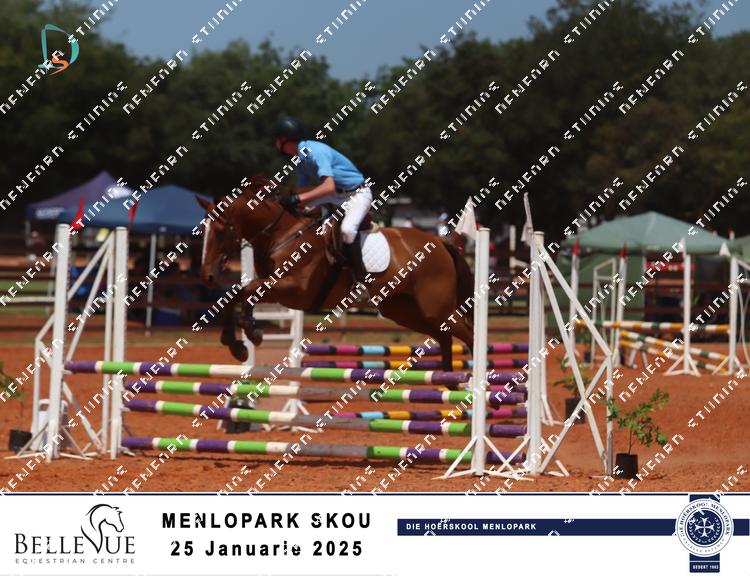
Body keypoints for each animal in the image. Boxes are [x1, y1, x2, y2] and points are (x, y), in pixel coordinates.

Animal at [197, 175, 475, 372]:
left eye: (220, 232)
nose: (207, 277)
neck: (283, 235)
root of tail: (440, 242)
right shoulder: (279, 290)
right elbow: (237, 295)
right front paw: (237, 344)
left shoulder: (294, 290)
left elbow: (248, 291)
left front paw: (251, 331)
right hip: (403, 310)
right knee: (444, 335)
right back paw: (448, 383)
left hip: (434, 308)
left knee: (466, 333)